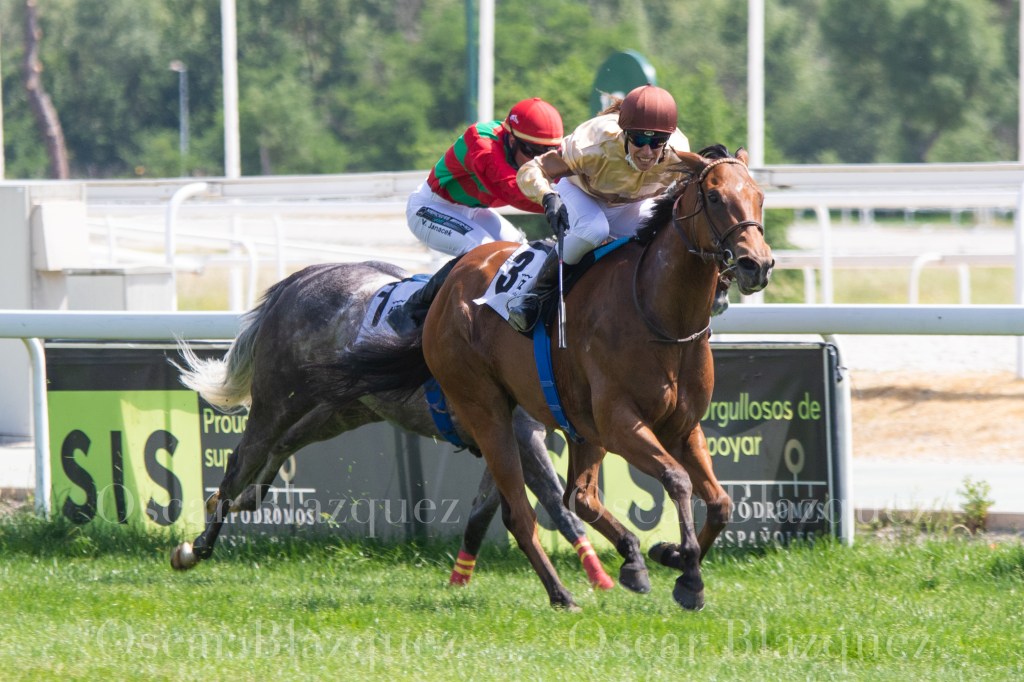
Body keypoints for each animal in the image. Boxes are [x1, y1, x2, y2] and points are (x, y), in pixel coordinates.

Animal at [168, 261, 613, 591]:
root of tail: (300, 279)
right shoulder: (519, 433)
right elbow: (558, 504)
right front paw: (605, 577)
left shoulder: (505, 436)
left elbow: (485, 510)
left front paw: (460, 578)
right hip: (279, 397)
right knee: (242, 460)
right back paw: (198, 546)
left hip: (341, 408)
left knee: (284, 446)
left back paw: (238, 505)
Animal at [323, 145, 773, 610]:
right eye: (715, 197)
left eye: (759, 197)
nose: (756, 265)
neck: (661, 315)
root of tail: (448, 285)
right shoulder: (621, 424)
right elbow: (677, 480)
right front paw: (689, 578)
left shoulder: (683, 428)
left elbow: (720, 502)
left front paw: (673, 555)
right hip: (487, 410)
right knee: (522, 513)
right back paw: (562, 593)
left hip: (579, 426)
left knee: (580, 495)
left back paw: (629, 560)